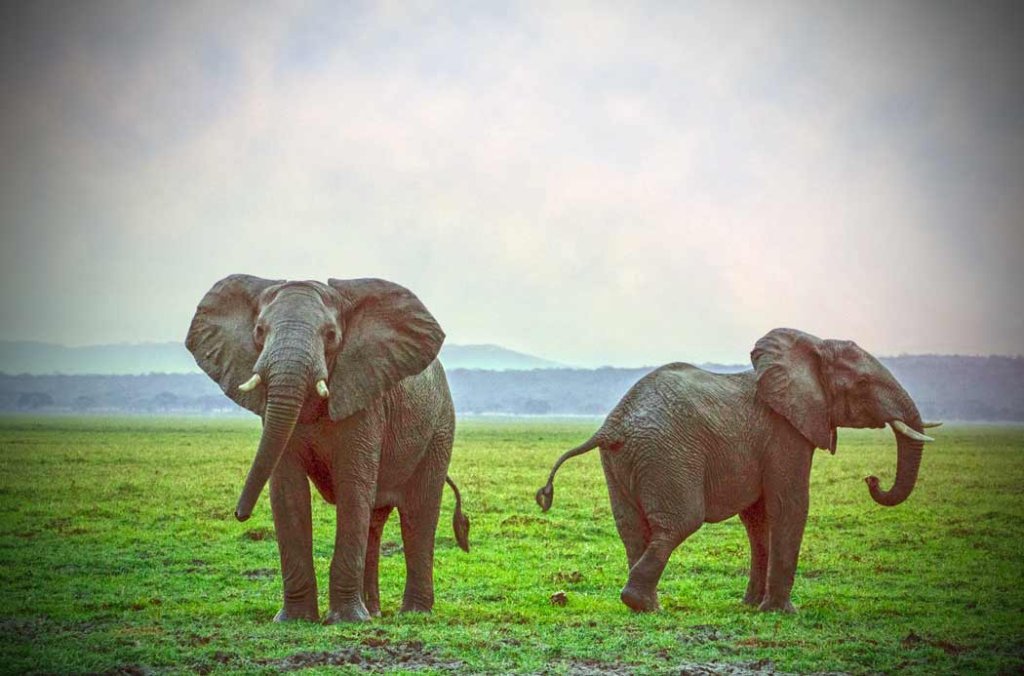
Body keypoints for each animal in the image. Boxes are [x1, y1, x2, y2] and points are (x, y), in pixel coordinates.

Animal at [187, 272, 468, 622]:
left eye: (332, 335)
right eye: (259, 331)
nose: (240, 514)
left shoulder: (364, 398)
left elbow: (353, 488)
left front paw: (345, 621)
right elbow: (288, 492)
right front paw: (295, 620)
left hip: (439, 428)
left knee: (418, 513)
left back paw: (413, 614)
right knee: (374, 522)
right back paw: (374, 613)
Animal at [540, 329, 937, 614]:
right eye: (863, 385)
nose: (872, 479)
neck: (812, 346)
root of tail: (613, 425)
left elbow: (758, 518)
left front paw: (750, 606)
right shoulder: (785, 433)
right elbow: (789, 505)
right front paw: (781, 612)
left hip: (622, 460)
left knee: (632, 528)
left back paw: (646, 606)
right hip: (668, 454)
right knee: (679, 523)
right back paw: (644, 605)